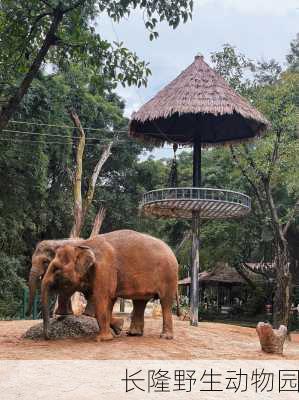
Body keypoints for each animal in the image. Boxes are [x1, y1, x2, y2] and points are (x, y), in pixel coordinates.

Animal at [41, 231, 179, 340]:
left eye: (56, 269)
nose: (49, 337)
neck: (84, 245)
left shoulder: (104, 269)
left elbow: (102, 298)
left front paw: (102, 339)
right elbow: (105, 299)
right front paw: (117, 329)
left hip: (169, 276)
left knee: (165, 302)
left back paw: (165, 337)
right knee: (140, 302)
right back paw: (133, 334)